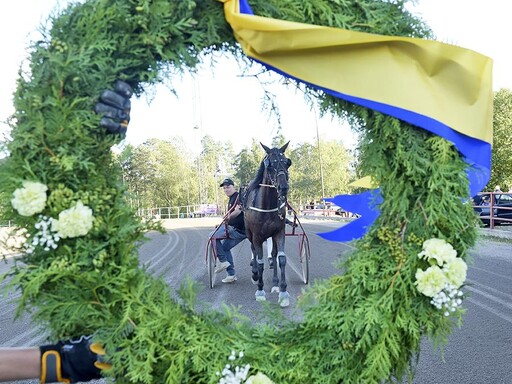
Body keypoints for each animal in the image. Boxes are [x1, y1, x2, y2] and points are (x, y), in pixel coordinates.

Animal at [242, 142, 290, 308]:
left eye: (287, 163)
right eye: (270, 165)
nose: (283, 187)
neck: (267, 205)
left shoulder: (279, 232)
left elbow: (281, 259)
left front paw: (283, 291)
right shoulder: (257, 236)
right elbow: (260, 261)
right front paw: (260, 290)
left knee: (274, 255)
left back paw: (275, 284)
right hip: (249, 234)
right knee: (254, 252)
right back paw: (255, 274)